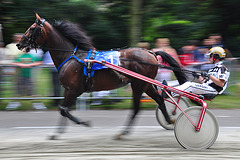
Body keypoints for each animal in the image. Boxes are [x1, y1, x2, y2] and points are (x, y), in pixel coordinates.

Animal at [16, 13, 188, 139]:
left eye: (32, 28)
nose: (19, 44)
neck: (71, 56)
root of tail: (150, 52)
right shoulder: (68, 89)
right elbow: (62, 109)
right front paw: (57, 133)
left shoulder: (75, 90)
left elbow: (64, 110)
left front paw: (83, 122)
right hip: (145, 84)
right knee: (160, 99)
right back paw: (169, 120)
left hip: (138, 84)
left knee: (136, 107)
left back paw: (123, 132)